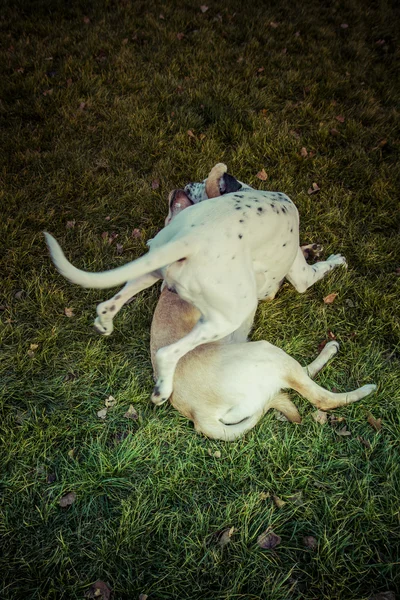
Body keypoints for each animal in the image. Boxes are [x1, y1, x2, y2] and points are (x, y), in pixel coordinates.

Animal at [44, 163, 346, 408]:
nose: (184, 185)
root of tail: (193, 237)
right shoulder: (301, 277)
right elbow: (317, 270)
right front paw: (335, 260)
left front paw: (314, 248)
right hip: (229, 315)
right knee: (168, 354)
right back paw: (161, 390)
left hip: (152, 270)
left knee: (109, 304)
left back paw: (105, 323)